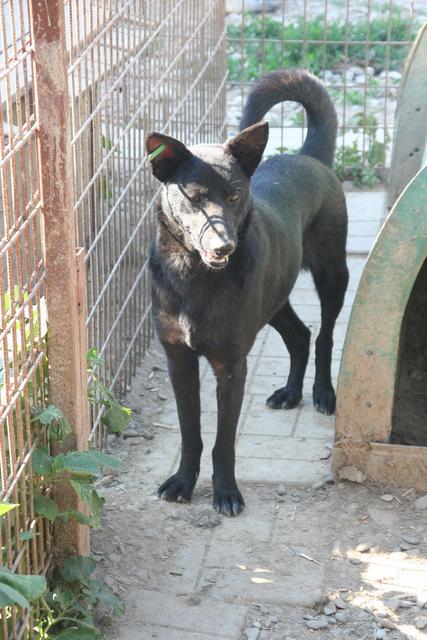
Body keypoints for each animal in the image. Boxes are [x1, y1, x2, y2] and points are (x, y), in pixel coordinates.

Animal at [145, 69, 350, 516]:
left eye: (235, 195)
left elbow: (223, 441)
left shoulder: (231, 365)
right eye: (194, 198)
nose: (224, 247)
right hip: (273, 297)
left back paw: (323, 393)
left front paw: (225, 492)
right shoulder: (178, 361)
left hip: (332, 274)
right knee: (300, 335)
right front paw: (183, 482)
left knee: (324, 335)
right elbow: (190, 433)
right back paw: (291, 393)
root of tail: (308, 155)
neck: (194, 277)